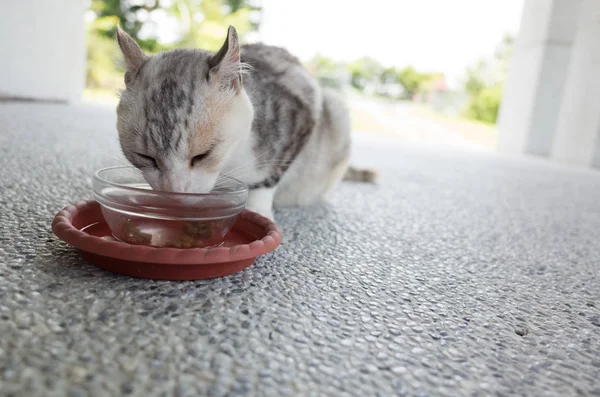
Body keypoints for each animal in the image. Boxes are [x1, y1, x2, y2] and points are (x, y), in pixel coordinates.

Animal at [115, 24, 376, 220]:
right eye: (146, 157)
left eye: (202, 155)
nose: (176, 194)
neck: (230, 163)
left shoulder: (304, 108)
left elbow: (268, 177)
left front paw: (258, 211)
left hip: (334, 106)